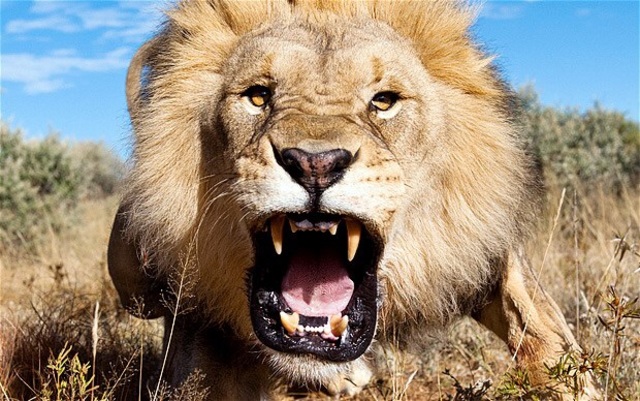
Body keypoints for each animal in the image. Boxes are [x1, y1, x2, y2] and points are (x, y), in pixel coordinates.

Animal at [108, 0, 597, 399]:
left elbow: (547, 337)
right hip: (133, 276)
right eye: (258, 96)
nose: (314, 163)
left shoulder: (488, 250)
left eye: (384, 101)